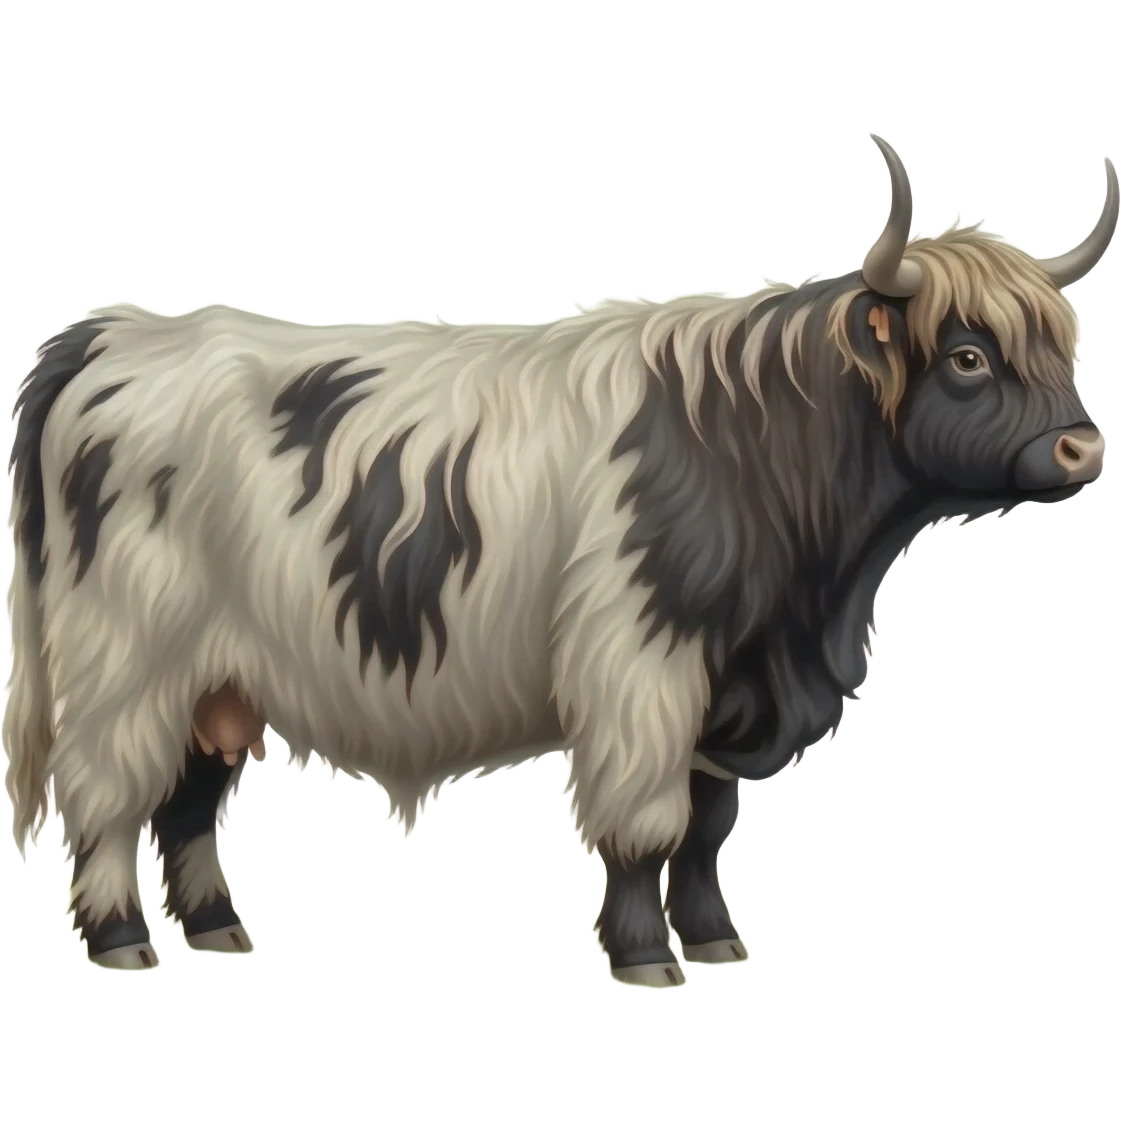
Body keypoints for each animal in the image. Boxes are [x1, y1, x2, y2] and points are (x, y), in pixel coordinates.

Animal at [3, 136, 1115, 987]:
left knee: (188, 802)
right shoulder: (641, 664)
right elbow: (644, 825)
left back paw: (219, 931)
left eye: (1061, 349)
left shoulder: (727, 685)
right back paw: (121, 941)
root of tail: (117, 333)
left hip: (216, 676)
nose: (1082, 447)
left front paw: (713, 938)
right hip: (129, 659)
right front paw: (644, 955)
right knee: (107, 798)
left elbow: (705, 824)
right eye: (967, 356)